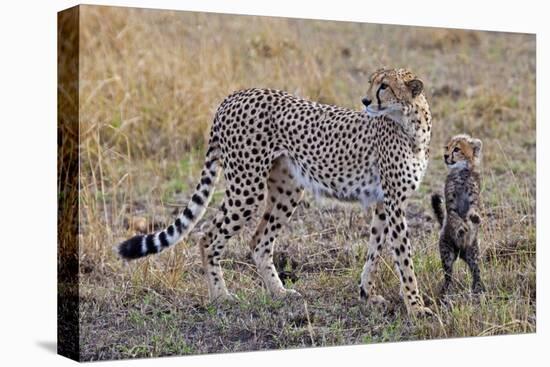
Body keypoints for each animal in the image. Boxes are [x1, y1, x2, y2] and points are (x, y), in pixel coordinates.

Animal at [119, 68, 436, 316]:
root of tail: (233, 96)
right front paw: (417, 308)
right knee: (208, 236)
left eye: (384, 85)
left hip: (287, 189)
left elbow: (374, 252)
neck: (412, 125)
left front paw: (367, 294)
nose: (366, 101)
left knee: (259, 241)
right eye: (372, 83)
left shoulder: (385, 202)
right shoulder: (394, 203)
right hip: (246, 186)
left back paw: (279, 292)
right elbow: (404, 258)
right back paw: (221, 296)